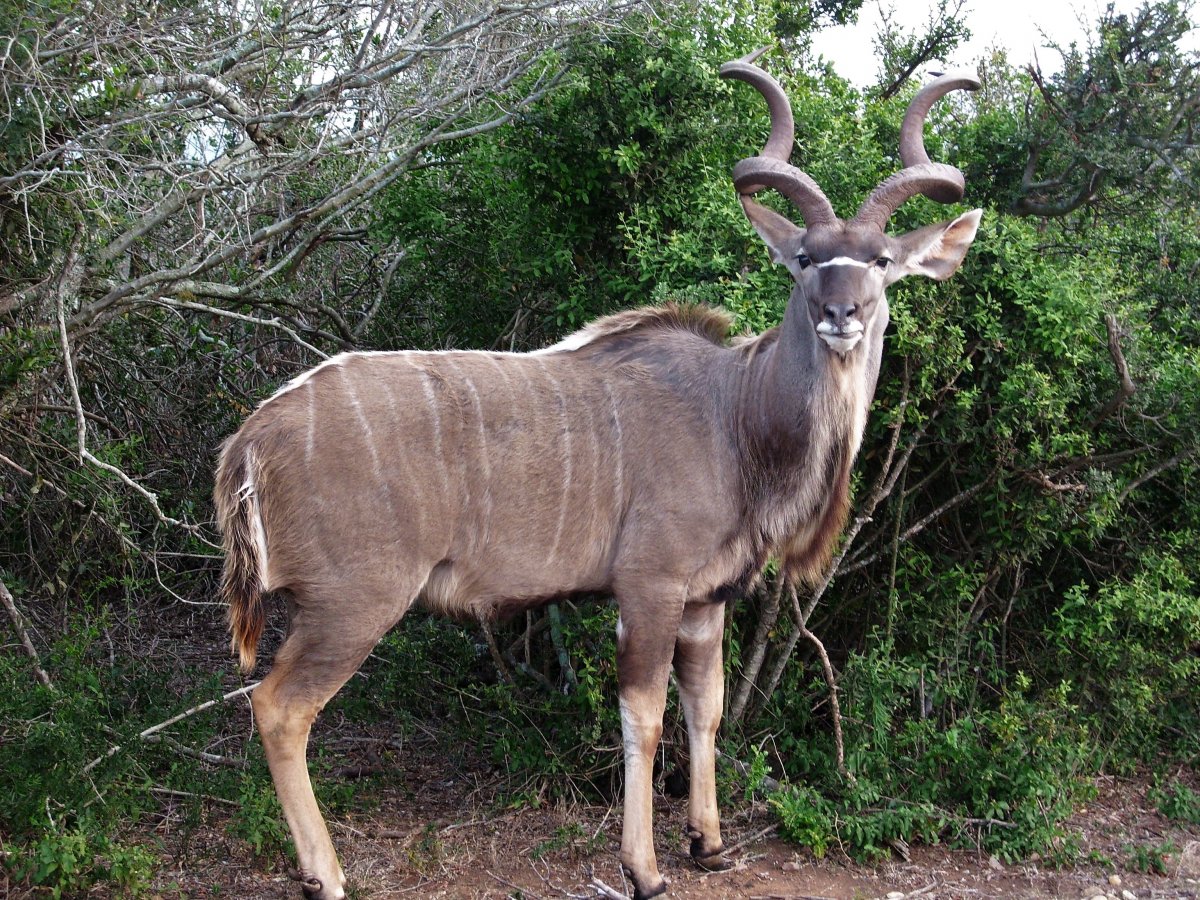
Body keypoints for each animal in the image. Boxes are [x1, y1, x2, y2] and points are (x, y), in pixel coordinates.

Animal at [216, 51, 984, 900]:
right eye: (807, 259)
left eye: (881, 262)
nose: (841, 315)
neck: (737, 415)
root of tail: (252, 434)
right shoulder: (649, 584)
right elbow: (642, 714)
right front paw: (644, 867)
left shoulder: (706, 599)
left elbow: (706, 707)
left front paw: (709, 842)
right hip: (354, 602)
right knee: (279, 707)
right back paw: (326, 875)